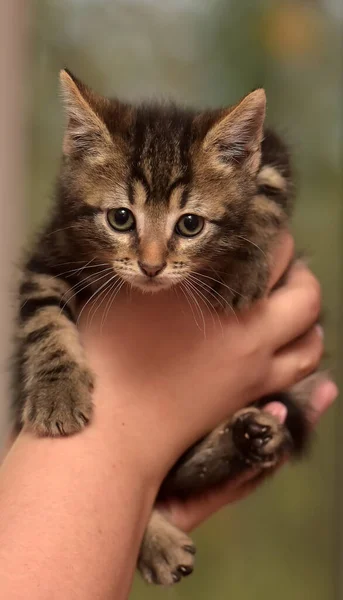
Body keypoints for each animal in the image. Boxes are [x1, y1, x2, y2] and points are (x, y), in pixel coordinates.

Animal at [14, 70, 314, 584]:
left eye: (190, 225)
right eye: (120, 218)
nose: (151, 266)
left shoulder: (271, 155)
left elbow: (265, 193)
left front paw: (244, 261)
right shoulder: (49, 257)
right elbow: (45, 320)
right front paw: (58, 392)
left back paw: (245, 439)